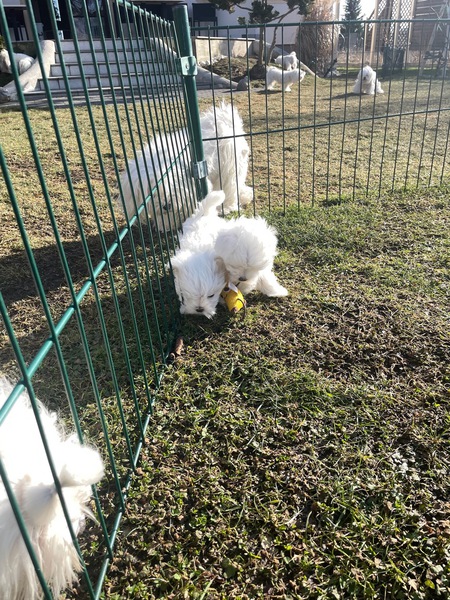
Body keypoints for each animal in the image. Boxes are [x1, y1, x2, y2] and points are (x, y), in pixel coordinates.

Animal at [118, 102, 253, 231]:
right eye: (152, 192)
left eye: (172, 186)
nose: (167, 206)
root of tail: (225, 119)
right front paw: (165, 225)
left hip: (229, 169)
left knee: (229, 187)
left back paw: (226, 206)